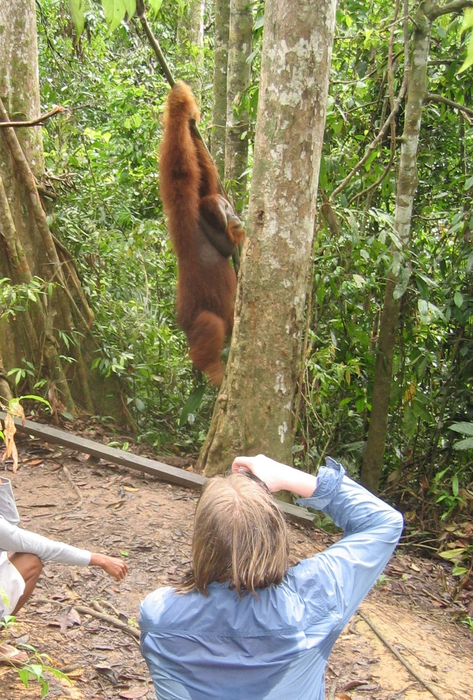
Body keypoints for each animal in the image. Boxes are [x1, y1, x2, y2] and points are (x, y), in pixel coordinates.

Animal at [159, 81, 245, 386]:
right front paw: (179, 101)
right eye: (226, 210)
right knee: (210, 325)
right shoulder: (186, 218)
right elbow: (180, 171)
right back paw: (212, 370)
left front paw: (191, 118)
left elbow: (205, 176)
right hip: (194, 319)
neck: (208, 231)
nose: (236, 217)